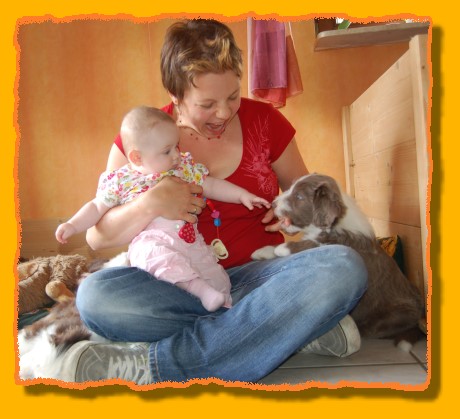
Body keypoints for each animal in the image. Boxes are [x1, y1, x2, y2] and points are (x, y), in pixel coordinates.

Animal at [252, 173, 425, 344]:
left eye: (299, 196)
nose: (273, 204)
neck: (334, 223)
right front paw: (261, 251)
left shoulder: (338, 243)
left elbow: (309, 244)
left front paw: (280, 248)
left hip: (397, 312)